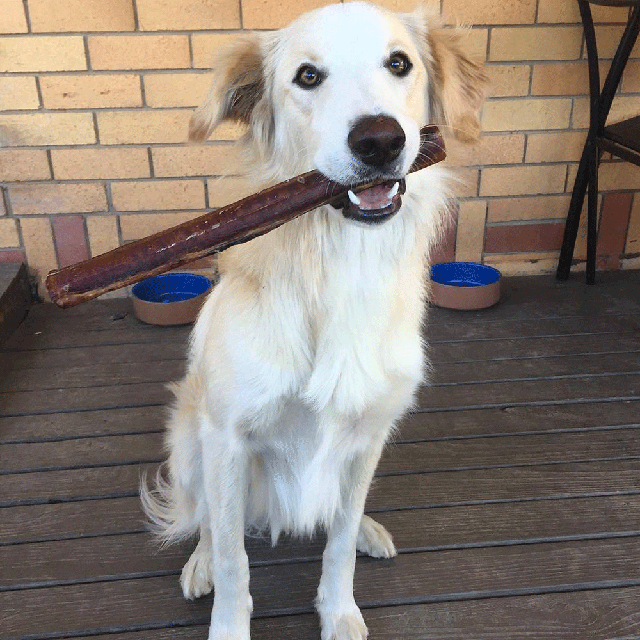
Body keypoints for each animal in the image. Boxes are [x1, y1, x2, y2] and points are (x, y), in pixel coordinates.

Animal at [142, 2, 488, 636]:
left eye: (399, 63)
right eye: (307, 76)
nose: (380, 139)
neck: (339, 265)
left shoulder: (367, 431)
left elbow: (340, 540)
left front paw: (340, 611)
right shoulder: (227, 437)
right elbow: (233, 557)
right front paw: (227, 620)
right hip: (189, 440)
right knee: (204, 519)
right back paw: (199, 560)